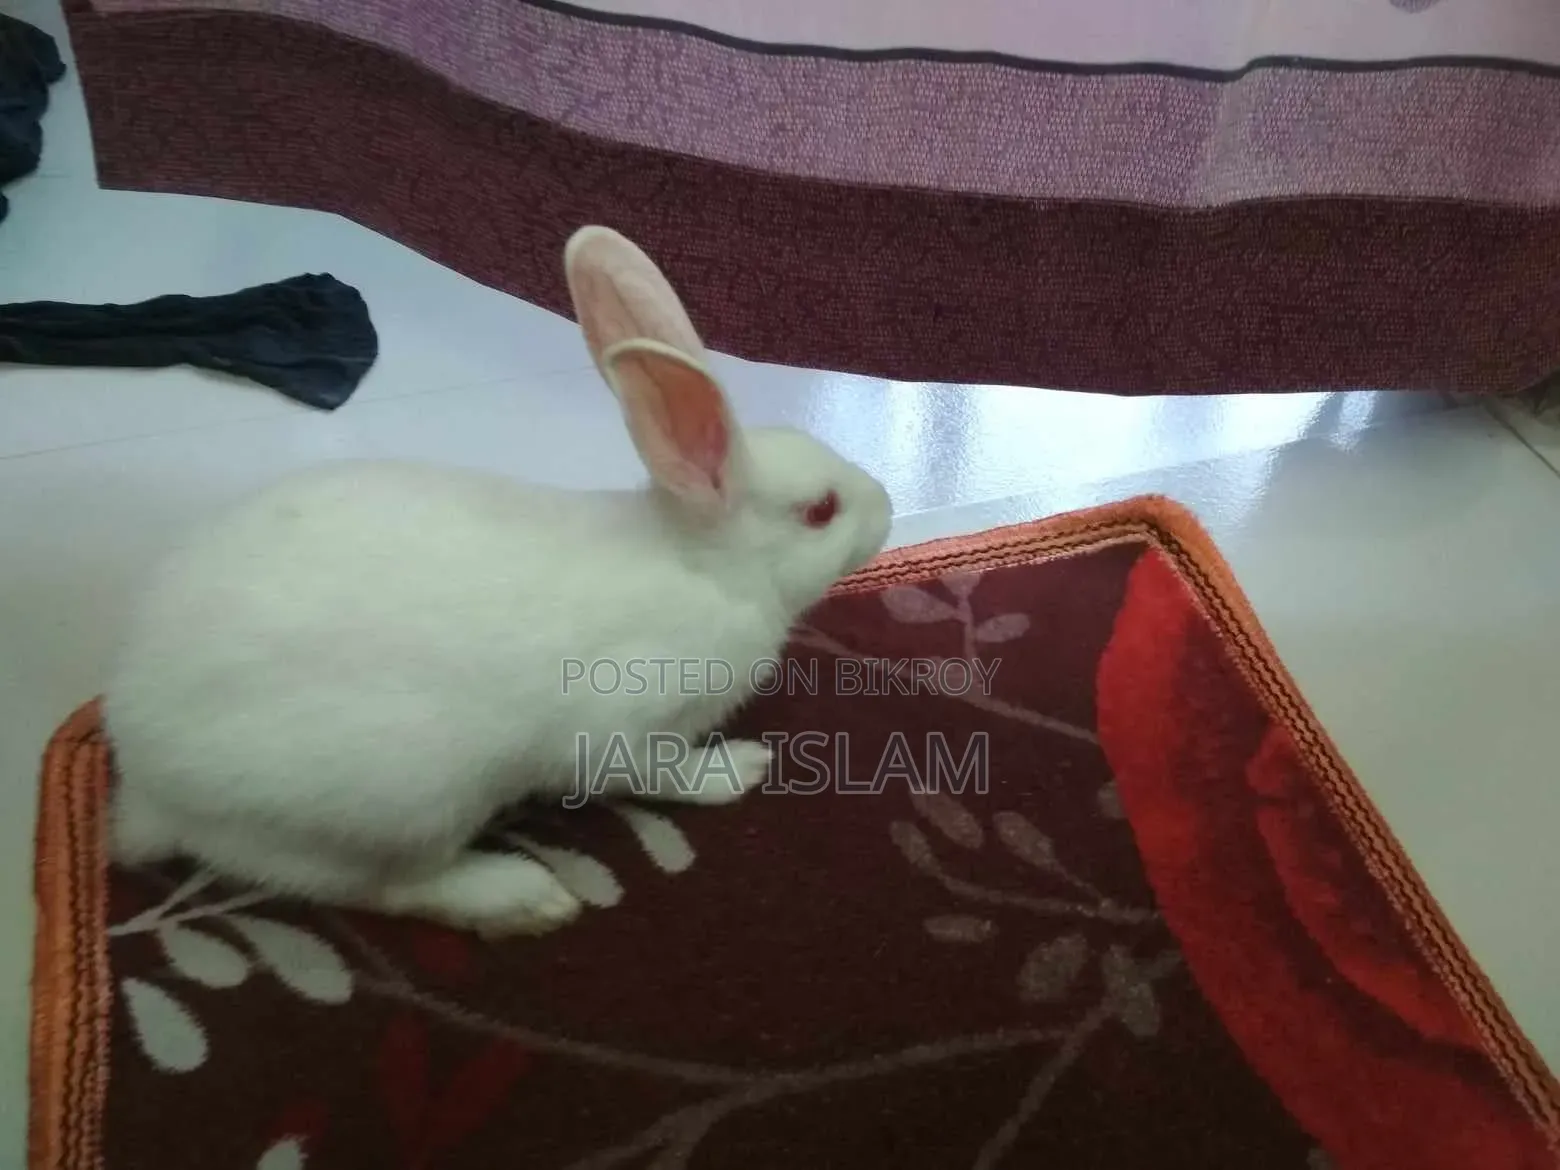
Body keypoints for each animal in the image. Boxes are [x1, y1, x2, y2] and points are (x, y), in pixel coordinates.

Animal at [102, 225, 894, 936]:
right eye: (821, 511)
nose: (887, 505)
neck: (704, 565)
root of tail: (150, 784)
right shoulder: (624, 722)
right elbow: (655, 774)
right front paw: (737, 770)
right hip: (404, 800)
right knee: (386, 888)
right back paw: (524, 898)